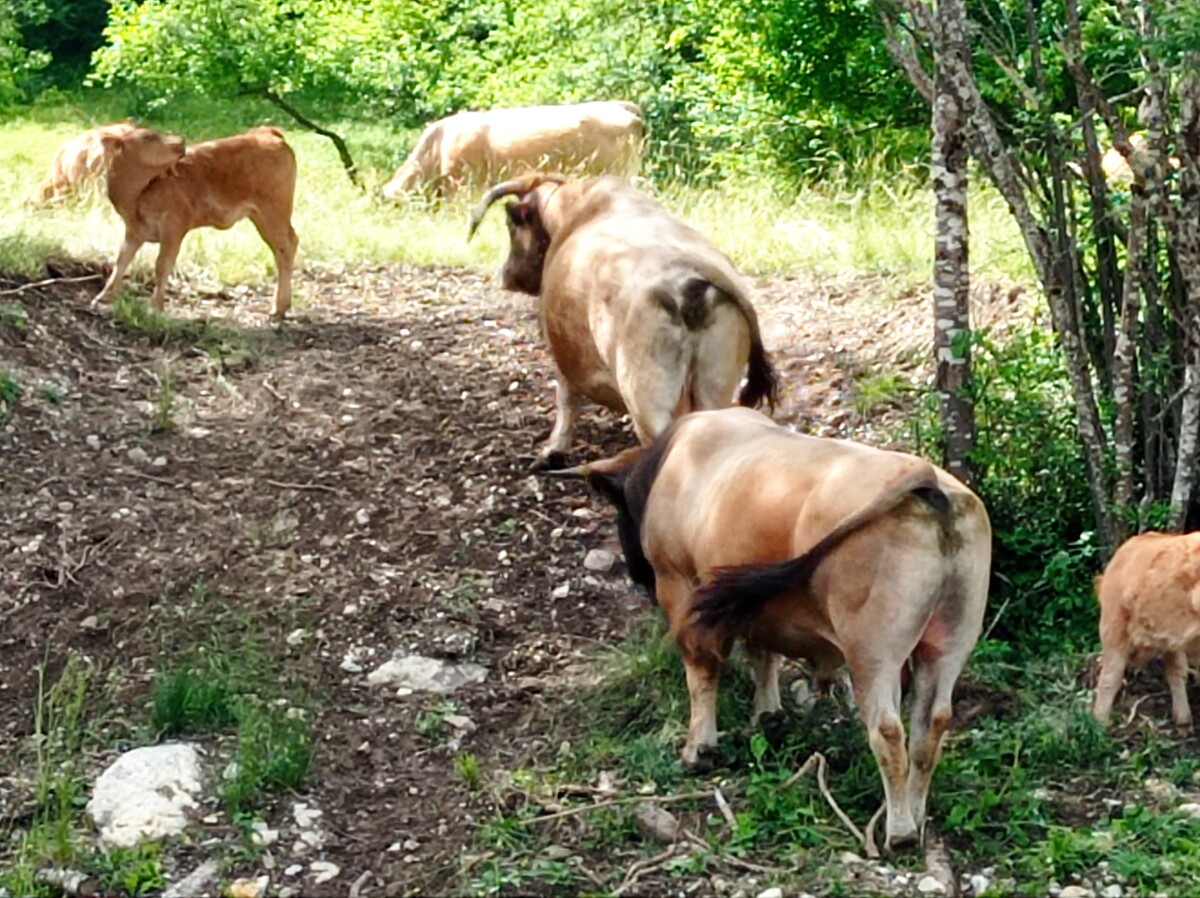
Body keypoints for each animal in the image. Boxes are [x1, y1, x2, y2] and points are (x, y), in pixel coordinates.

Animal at [92, 125, 299, 318]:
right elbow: (121, 260)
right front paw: (103, 297)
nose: (180, 141)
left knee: (286, 246)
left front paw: (156, 307)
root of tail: (267, 133)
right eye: (146, 136)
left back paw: (278, 307)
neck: (138, 194)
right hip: (260, 216)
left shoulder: (174, 226)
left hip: (274, 211)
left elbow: (162, 265)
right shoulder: (134, 230)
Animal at [468, 172, 778, 468]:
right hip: (714, 387)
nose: (506, 274)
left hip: (647, 396)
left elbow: (566, 400)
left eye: (511, 225)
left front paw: (552, 451)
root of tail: (691, 279)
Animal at [553, 407, 992, 851]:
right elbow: (763, 655)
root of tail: (928, 482)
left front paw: (699, 748)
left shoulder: (681, 590)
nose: (635, 571)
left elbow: (702, 671)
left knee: (887, 730)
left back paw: (899, 830)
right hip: (948, 644)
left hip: (873, 653)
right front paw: (767, 714)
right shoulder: (757, 610)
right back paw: (916, 817)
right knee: (930, 725)